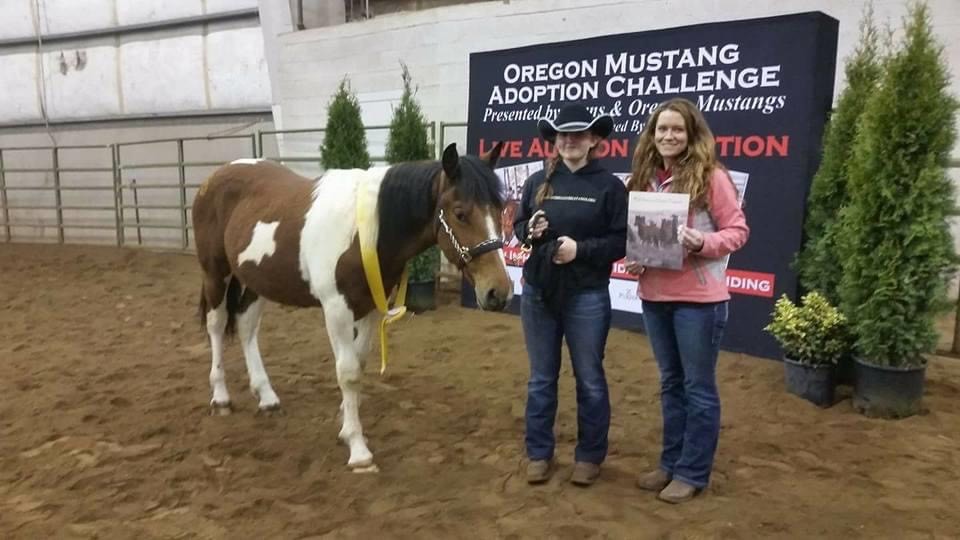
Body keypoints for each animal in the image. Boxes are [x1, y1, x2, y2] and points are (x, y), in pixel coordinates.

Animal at [190, 142, 512, 468]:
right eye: (460, 213)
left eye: (500, 209)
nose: (498, 291)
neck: (364, 232)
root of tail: (214, 178)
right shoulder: (336, 309)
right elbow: (348, 372)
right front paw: (358, 450)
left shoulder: (370, 306)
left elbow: (359, 364)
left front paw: (345, 421)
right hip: (215, 273)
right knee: (216, 326)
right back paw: (221, 397)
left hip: (256, 281)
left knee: (246, 326)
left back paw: (267, 397)